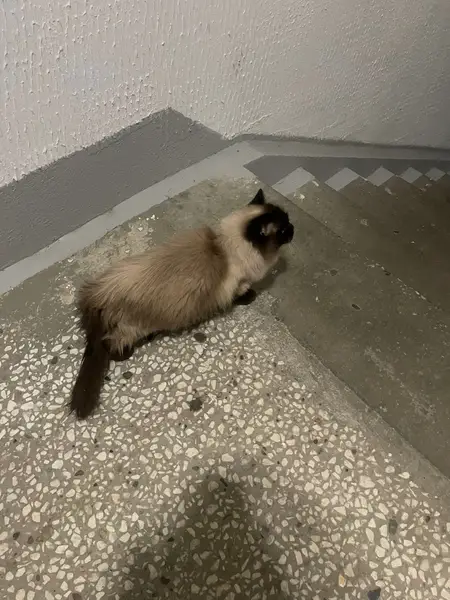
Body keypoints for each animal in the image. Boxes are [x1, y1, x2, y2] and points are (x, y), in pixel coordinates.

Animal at [69, 188, 294, 419]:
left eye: (287, 222)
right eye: (284, 229)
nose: (294, 228)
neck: (223, 247)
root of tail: (97, 293)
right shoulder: (239, 284)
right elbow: (243, 293)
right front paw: (251, 296)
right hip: (131, 327)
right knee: (111, 343)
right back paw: (128, 352)